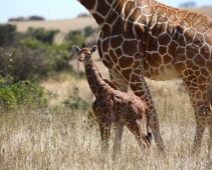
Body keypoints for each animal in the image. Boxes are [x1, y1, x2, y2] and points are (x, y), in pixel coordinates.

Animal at [77, 0, 212, 155]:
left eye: (88, 54)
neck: (107, 12)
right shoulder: (115, 71)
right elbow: (120, 120)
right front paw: (116, 155)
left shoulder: (130, 68)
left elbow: (151, 116)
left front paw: (161, 154)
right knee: (209, 111)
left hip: (192, 73)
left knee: (202, 112)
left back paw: (193, 154)